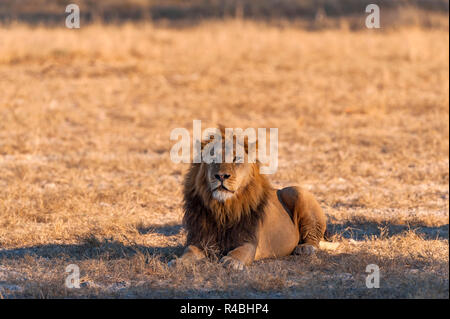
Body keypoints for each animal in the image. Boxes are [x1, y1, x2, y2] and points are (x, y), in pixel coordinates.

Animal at [170, 127, 338, 270]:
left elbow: (240, 251)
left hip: (296, 191)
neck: (223, 208)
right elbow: (189, 251)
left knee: (314, 239)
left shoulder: (249, 240)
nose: (221, 176)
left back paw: (305, 248)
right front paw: (178, 262)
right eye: (212, 158)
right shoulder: (199, 240)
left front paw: (232, 261)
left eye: (236, 159)